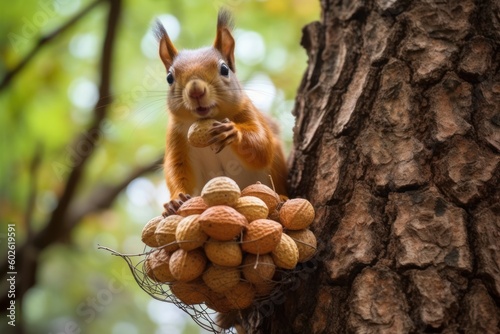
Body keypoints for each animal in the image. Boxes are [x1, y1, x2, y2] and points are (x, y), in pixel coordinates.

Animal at [156, 9, 290, 217]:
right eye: (169, 78)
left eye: (224, 69)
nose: (196, 91)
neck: (208, 118)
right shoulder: (176, 136)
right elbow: (176, 168)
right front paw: (175, 201)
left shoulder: (247, 111)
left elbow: (262, 147)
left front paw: (232, 132)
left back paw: (282, 198)